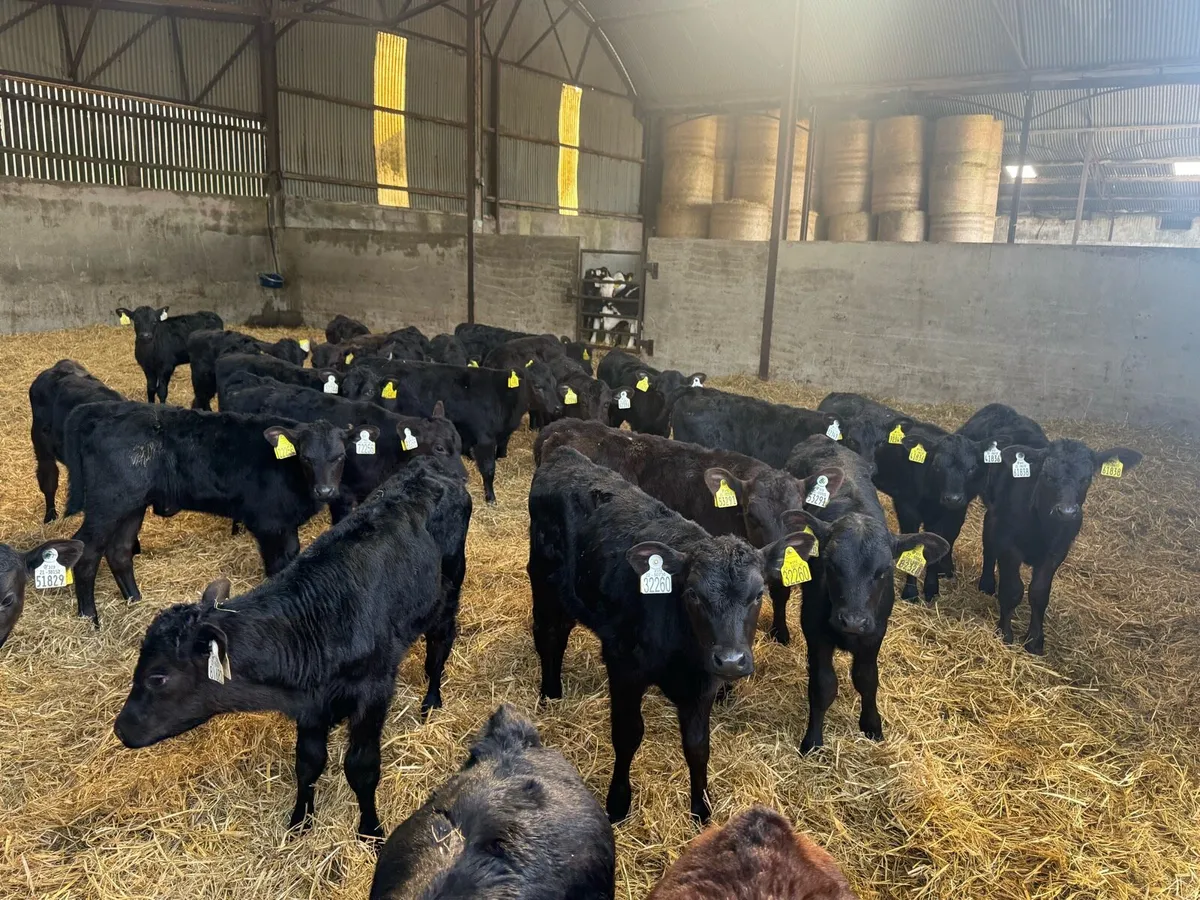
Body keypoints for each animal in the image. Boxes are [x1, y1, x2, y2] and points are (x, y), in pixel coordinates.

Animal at [62, 401, 353, 624]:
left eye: (340, 456)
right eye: (305, 457)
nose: (325, 491)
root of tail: (102, 409)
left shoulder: (286, 525)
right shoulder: (269, 524)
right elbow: (276, 567)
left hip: (133, 504)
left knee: (120, 551)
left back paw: (135, 600)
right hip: (108, 504)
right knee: (87, 551)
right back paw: (89, 618)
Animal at [113, 460, 468, 839]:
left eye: (158, 677)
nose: (120, 729)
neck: (319, 623)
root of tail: (429, 468)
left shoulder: (374, 690)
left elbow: (362, 767)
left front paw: (370, 829)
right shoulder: (311, 705)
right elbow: (308, 763)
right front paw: (300, 820)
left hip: (447, 593)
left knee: (439, 647)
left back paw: (431, 700)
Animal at [528, 447, 814, 822]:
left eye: (757, 595)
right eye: (693, 594)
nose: (731, 660)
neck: (684, 653)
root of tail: (565, 455)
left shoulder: (704, 683)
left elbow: (697, 745)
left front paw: (701, 809)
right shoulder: (624, 666)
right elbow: (628, 733)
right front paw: (617, 803)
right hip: (545, 581)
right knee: (549, 635)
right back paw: (550, 694)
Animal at [786, 436, 949, 752]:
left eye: (884, 570)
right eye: (830, 564)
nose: (852, 621)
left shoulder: (875, 631)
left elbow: (867, 678)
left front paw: (872, 725)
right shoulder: (814, 627)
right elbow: (823, 684)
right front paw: (813, 740)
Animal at [980, 440, 1141, 654]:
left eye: (1086, 478)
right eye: (1047, 476)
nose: (1067, 512)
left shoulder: (1057, 552)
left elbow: (1039, 593)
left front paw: (1035, 641)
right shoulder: (1008, 544)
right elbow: (1012, 589)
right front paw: (1004, 633)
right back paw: (986, 583)